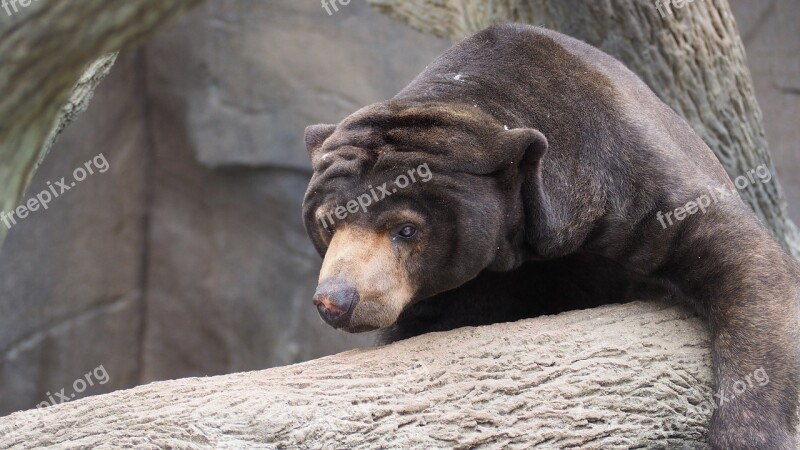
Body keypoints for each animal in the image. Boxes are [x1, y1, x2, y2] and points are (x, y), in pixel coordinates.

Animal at [302, 23, 800, 446]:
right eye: (327, 223)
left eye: (406, 229)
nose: (336, 300)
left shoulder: (630, 175)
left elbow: (742, 256)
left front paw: (747, 433)